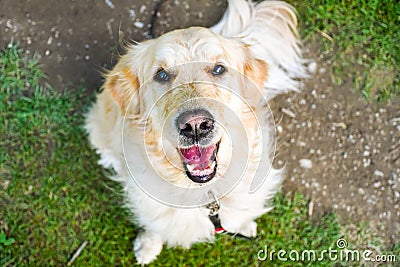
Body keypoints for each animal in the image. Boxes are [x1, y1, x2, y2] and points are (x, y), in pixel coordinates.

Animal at [85, 0, 306, 264]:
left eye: (219, 69)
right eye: (161, 74)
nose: (195, 125)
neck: (203, 194)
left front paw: (243, 224)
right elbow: (155, 226)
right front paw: (147, 247)